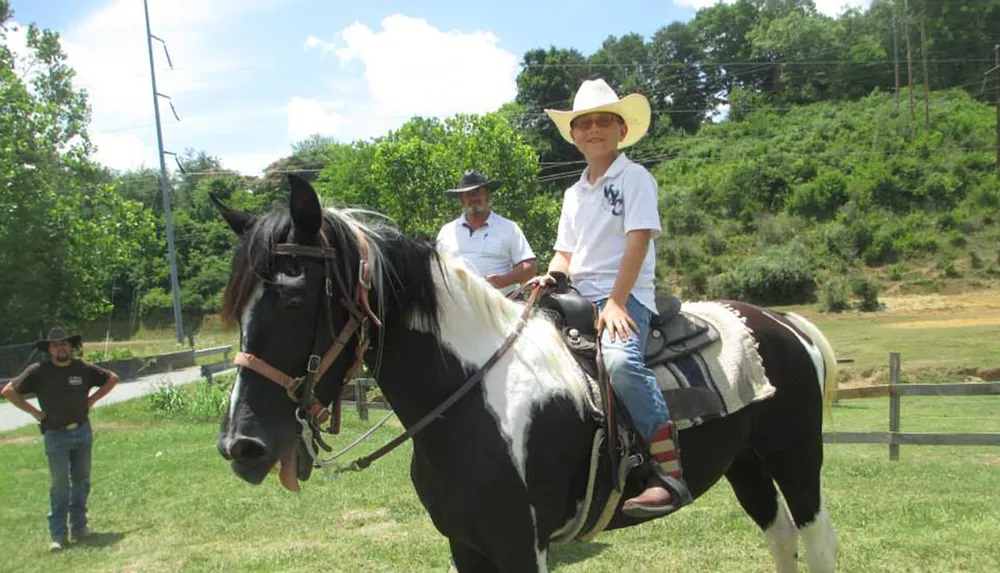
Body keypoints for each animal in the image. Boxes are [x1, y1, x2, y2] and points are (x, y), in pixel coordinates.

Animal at [215, 174, 840, 572]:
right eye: (237, 308)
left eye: (295, 299)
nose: (240, 446)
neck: (472, 404)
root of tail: (782, 323)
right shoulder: (466, 547)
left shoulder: (521, 546)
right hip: (746, 465)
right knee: (782, 539)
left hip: (797, 458)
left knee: (816, 543)